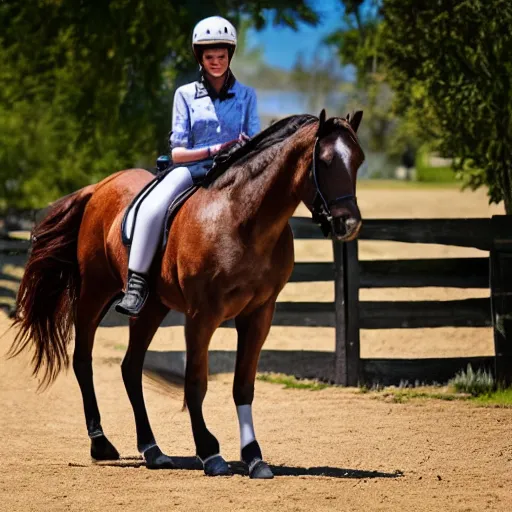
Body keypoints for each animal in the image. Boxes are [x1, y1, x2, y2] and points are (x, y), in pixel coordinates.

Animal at [9, 110, 364, 478]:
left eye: (358, 160)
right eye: (325, 161)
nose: (349, 224)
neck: (243, 221)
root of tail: (99, 187)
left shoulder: (259, 314)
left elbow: (243, 384)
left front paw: (254, 457)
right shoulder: (201, 316)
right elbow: (196, 382)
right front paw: (210, 452)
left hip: (150, 307)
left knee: (130, 367)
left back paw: (153, 450)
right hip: (95, 292)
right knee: (83, 360)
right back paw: (101, 443)